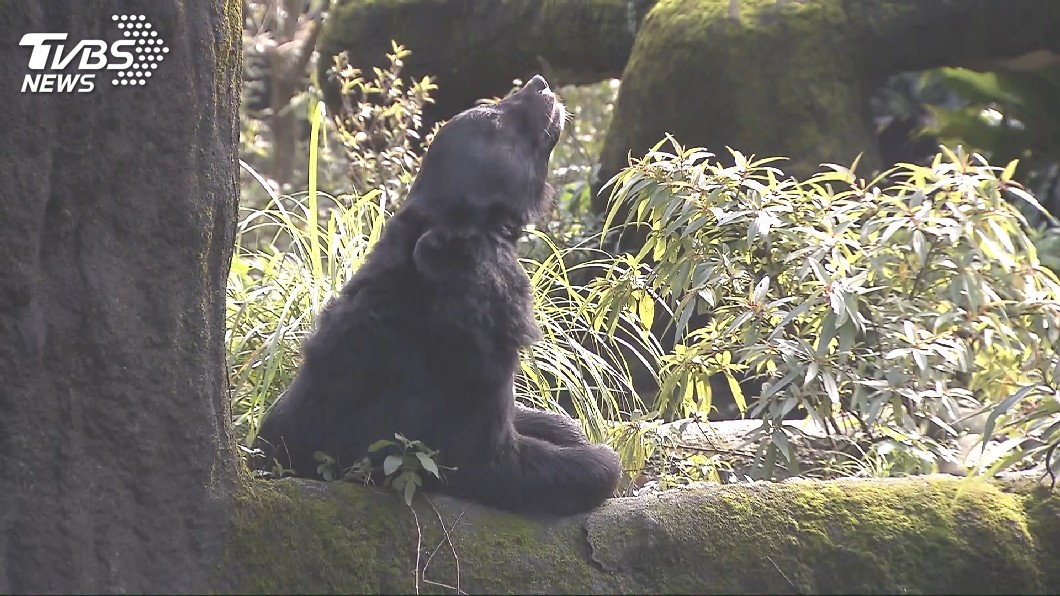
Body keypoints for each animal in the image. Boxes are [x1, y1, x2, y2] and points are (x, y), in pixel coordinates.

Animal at [254, 75, 622, 516]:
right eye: (494, 122)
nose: (539, 82)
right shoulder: (454, 422)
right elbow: (587, 465)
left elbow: (548, 420)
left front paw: (566, 428)